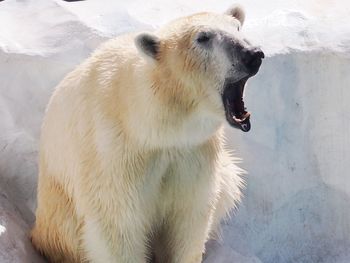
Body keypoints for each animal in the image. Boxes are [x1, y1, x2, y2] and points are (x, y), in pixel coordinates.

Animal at [31, 4, 264, 263]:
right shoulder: (115, 157)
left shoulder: (193, 154)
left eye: (237, 27)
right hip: (61, 220)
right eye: (203, 37)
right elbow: (118, 228)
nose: (252, 54)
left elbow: (188, 221)